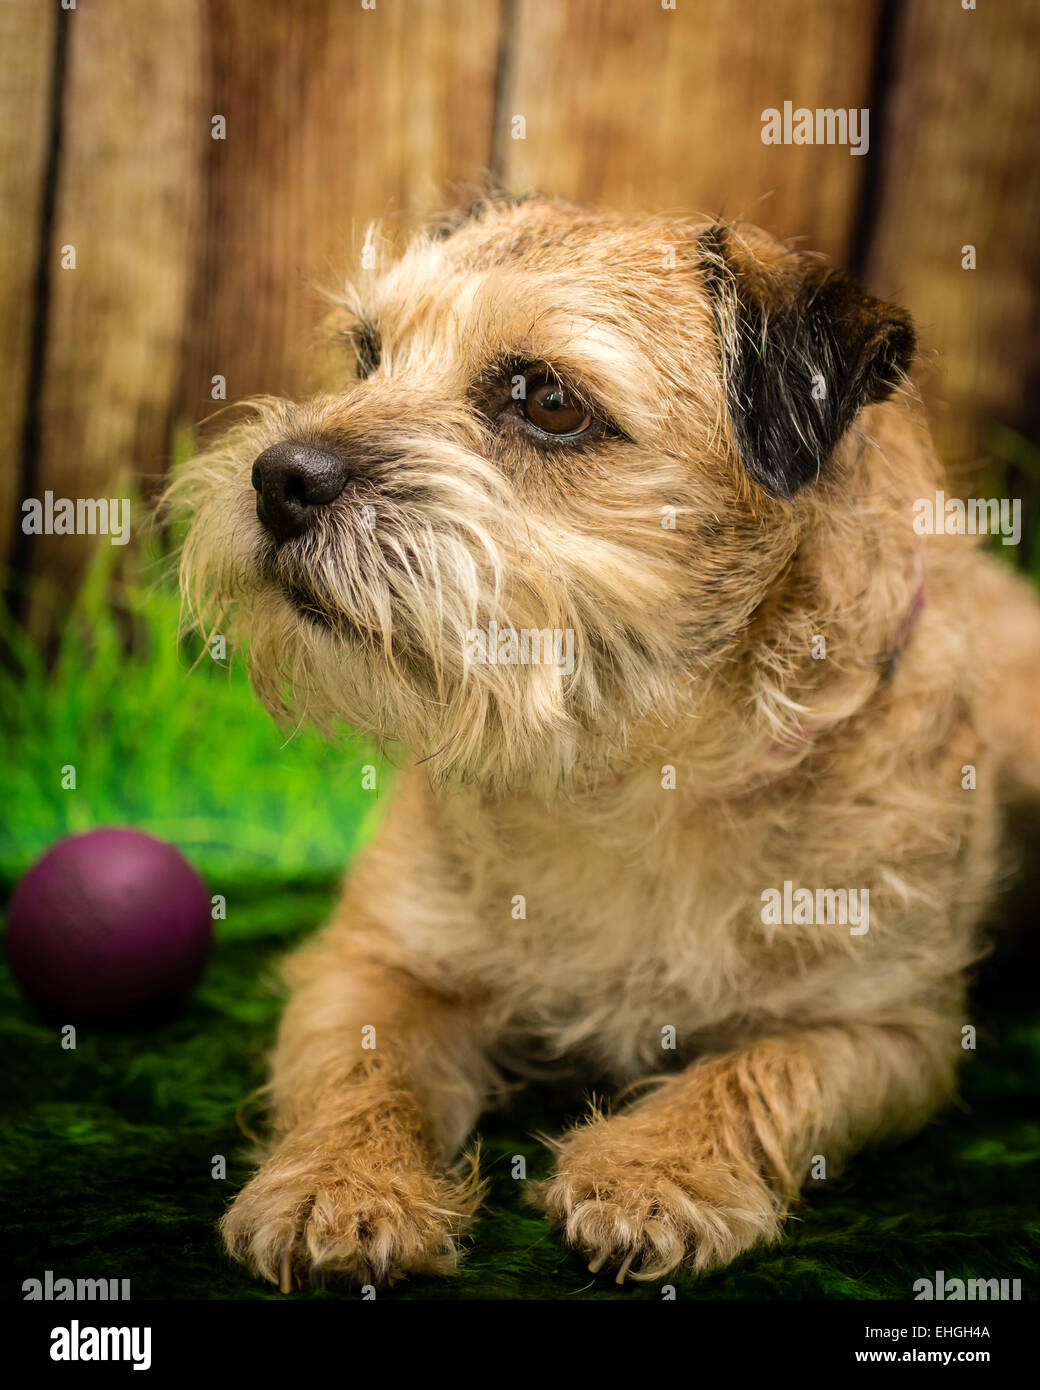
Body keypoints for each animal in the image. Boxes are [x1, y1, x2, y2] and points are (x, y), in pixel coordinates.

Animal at [172, 190, 1040, 1284]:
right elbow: (364, 1070)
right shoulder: (369, 962)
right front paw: (343, 1182)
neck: (630, 766)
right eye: (367, 355)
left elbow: (756, 1068)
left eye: (547, 401)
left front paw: (654, 1168)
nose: (278, 475)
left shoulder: (882, 1026)